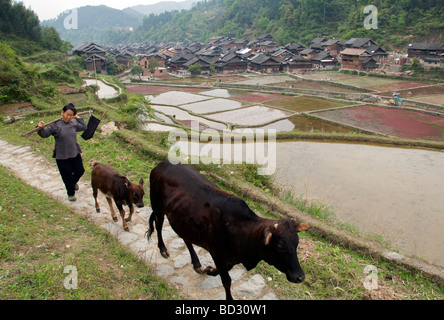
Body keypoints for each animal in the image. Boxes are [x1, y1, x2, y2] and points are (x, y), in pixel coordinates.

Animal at [147, 161, 310, 302]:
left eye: (296, 243)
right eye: (280, 246)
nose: (300, 277)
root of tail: (162, 164)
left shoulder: (231, 257)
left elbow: (224, 271)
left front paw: (209, 270)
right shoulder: (217, 254)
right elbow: (226, 280)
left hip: (183, 219)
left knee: (186, 238)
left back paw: (197, 263)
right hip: (158, 206)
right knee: (159, 226)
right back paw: (163, 249)